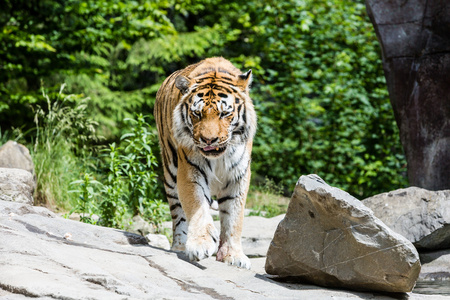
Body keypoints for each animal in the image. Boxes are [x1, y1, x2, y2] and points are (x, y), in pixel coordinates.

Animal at [154, 56, 256, 270]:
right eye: (197, 114)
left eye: (224, 114)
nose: (209, 140)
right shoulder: (190, 171)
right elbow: (197, 206)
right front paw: (201, 244)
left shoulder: (239, 176)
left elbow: (234, 218)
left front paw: (233, 255)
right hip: (170, 172)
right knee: (178, 214)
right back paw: (179, 246)